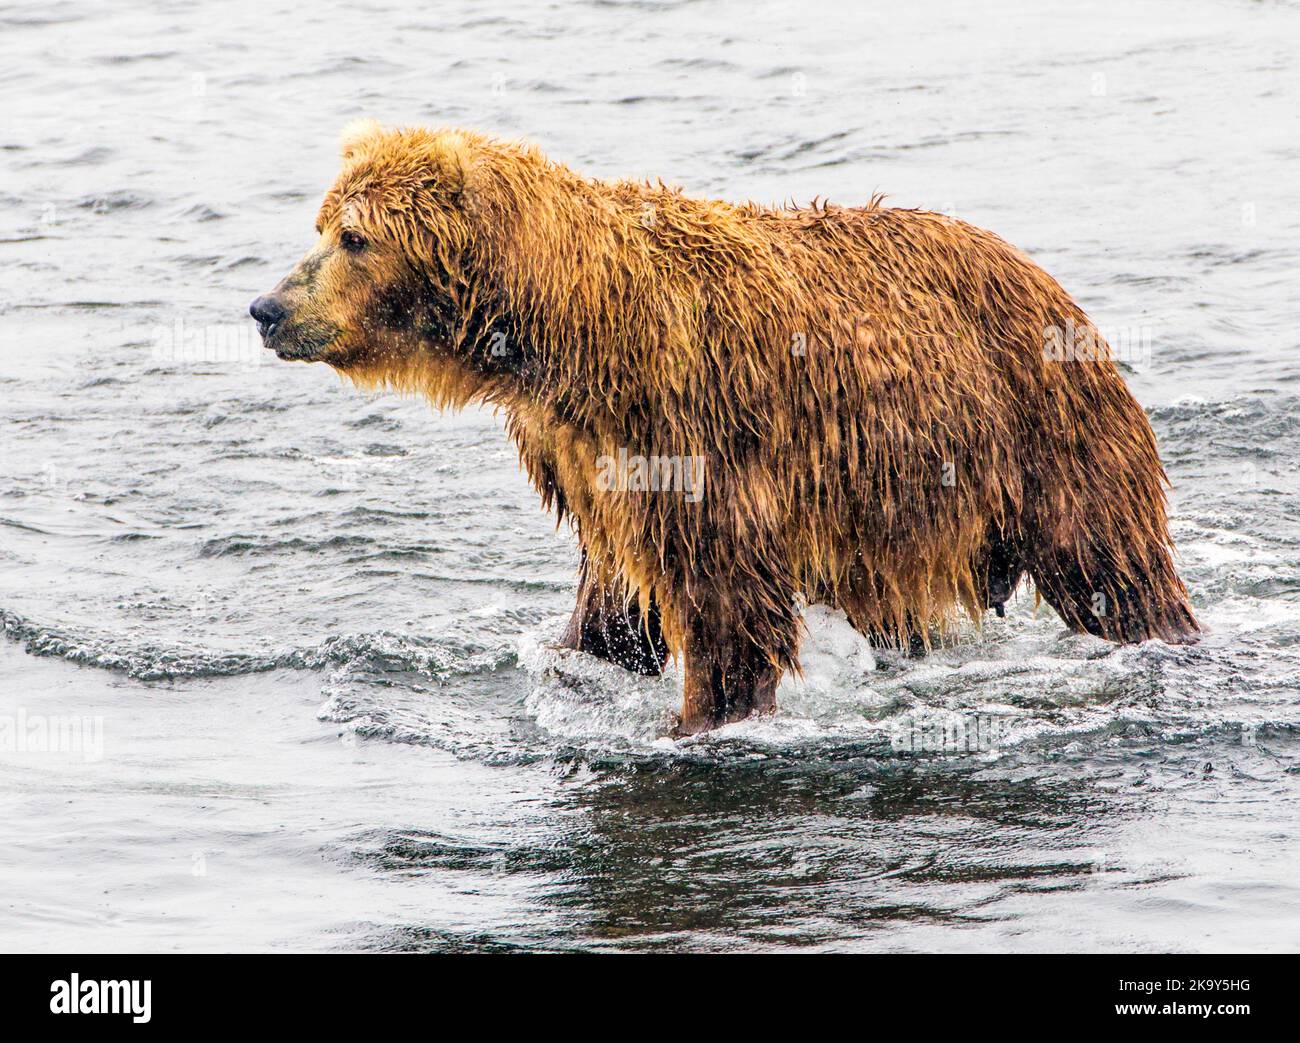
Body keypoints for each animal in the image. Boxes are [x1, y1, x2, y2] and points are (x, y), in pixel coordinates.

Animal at [250, 122, 1196, 733]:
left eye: (354, 236)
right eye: (322, 224)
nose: (267, 307)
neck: (569, 333)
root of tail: (1045, 278)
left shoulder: (695, 434)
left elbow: (725, 600)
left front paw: (699, 718)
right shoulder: (589, 457)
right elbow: (613, 591)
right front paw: (581, 661)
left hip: (1040, 431)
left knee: (1110, 564)